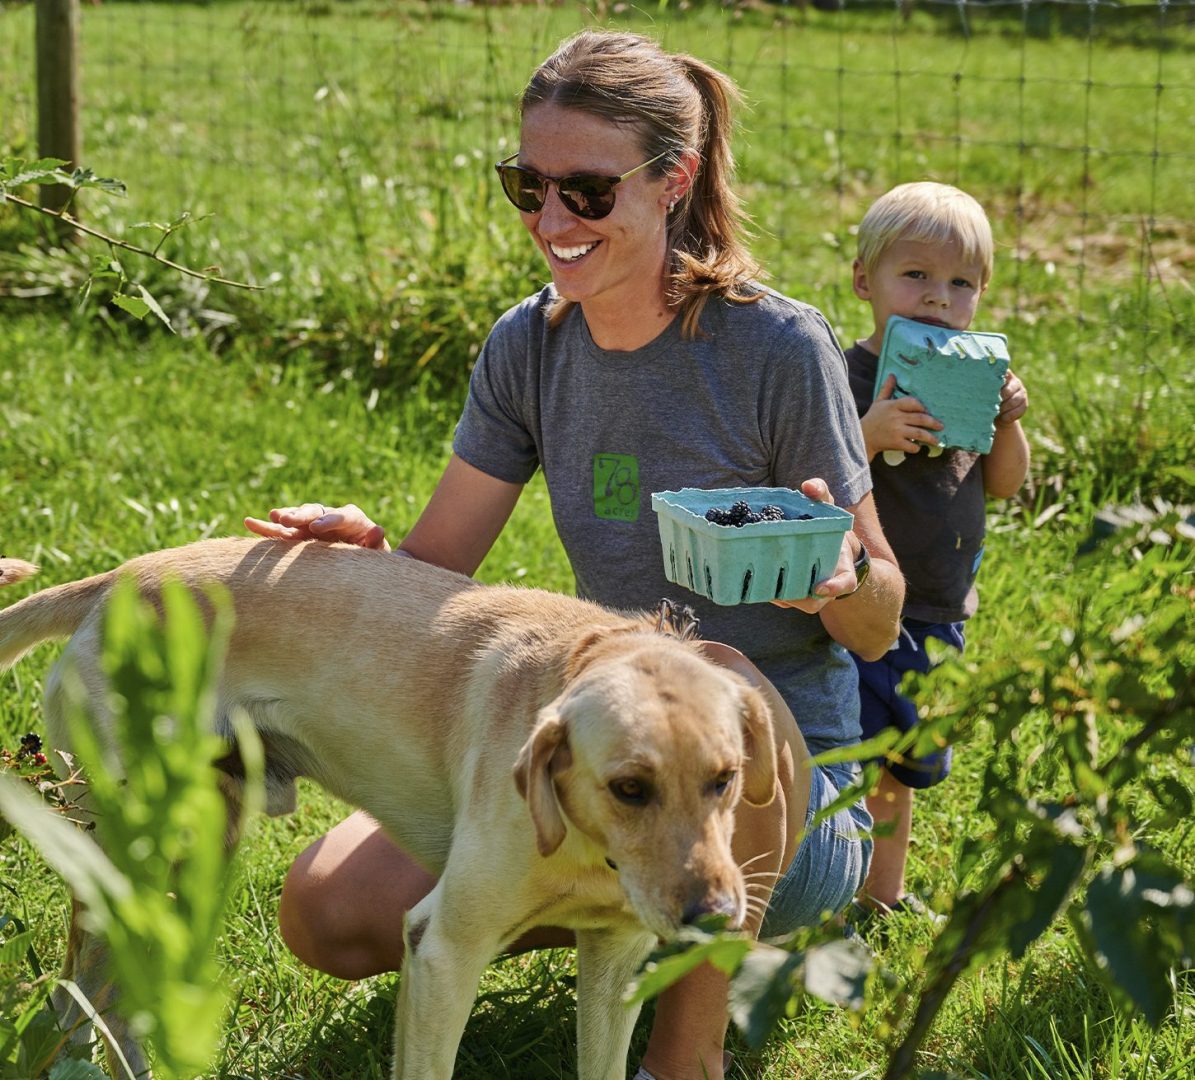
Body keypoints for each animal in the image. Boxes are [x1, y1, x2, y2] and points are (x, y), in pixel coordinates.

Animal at [0, 540, 774, 1080]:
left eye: (725, 779)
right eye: (630, 787)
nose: (715, 918)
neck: (583, 846)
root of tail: (115, 582)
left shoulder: (612, 966)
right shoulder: (444, 951)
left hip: (194, 855)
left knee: (89, 1001)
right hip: (133, 864)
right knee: (88, 1002)